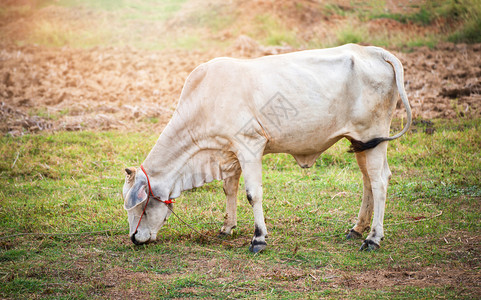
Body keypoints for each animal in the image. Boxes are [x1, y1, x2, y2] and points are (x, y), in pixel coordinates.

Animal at [122, 42, 410, 253]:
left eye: (140, 206)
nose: (134, 238)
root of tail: (374, 51)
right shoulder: (229, 152)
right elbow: (229, 189)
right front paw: (227, 227)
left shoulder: (249, 145)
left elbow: (252, 194)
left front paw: (258, 239)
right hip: (360, 142)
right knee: (368, 180)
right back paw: (357, 229)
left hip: (373, 135)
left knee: (379, 181)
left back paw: (373, 238)